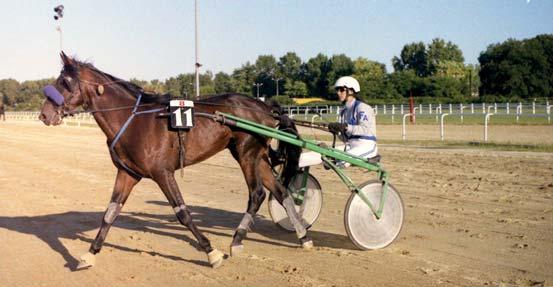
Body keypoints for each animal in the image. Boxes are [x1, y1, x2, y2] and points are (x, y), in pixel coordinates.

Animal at [40, 53, 310, 270]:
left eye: (65, 82)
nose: (44, 114)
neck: (133, 119)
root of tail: (264, 106)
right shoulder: (127, 174)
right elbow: (110, 213)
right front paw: (90, 253)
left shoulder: (163, 173)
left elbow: (183, 213)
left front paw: (211, 252)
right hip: (257, 156)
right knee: (281, 192)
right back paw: (303, 237)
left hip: (247, 153)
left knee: (257, 194)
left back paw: (236, 240)